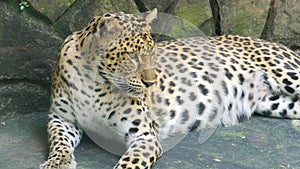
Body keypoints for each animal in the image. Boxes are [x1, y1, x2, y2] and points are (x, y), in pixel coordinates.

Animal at [39, 8, 300, 168]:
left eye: (152, 52)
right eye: (132, 56)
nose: (151, 83)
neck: (95, 82)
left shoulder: (145, 135)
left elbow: (129, 163)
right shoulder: (61, 118)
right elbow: (59, 141)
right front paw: (56, 163)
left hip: (289, 73)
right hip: (276, 104)